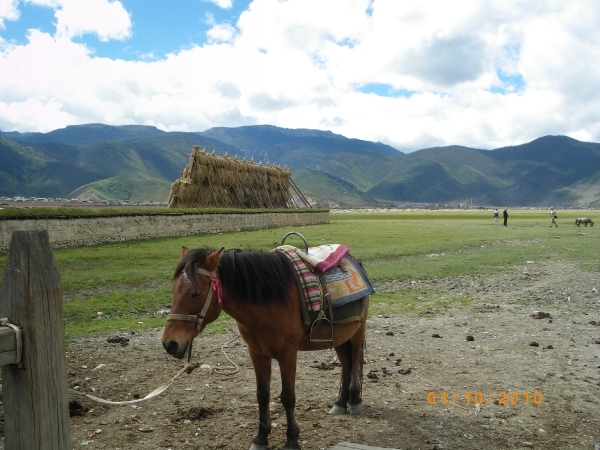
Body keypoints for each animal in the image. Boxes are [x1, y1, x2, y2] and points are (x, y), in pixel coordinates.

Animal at [162, 248, 368, 450]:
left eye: (196, 293)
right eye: (173, 291)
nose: (169, 343)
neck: (266, 304)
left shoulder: (287, 354)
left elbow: (288, 396)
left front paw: (292, 439)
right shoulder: (257, 353)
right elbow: (262, 395)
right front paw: (261, 438)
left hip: (358, 332)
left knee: (356, 359)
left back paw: (355, 400)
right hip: (341, 337)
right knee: (346, 364)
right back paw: (340, 403)